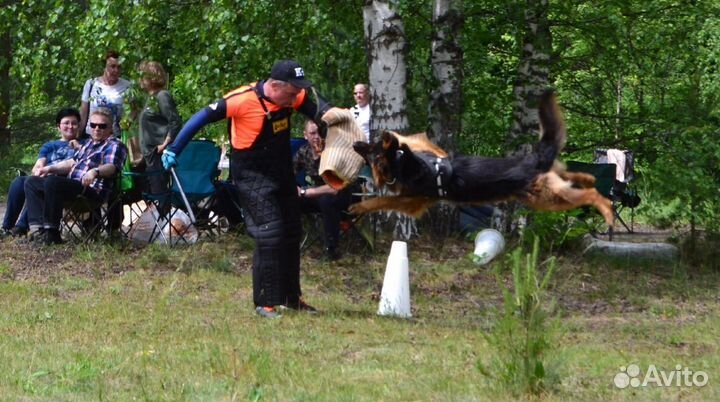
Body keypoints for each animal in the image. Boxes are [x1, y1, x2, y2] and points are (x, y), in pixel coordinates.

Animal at [348, 89, 612, 225]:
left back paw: (606, 208)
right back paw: (588, 177)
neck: (404, 162)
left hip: (546, 198)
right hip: (548, 187)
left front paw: (359, 206)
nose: (355, 143)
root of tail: (534, 160)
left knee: (590, 196)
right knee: (569, 174)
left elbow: (380, 201)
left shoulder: (412, 201)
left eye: (370, 150)